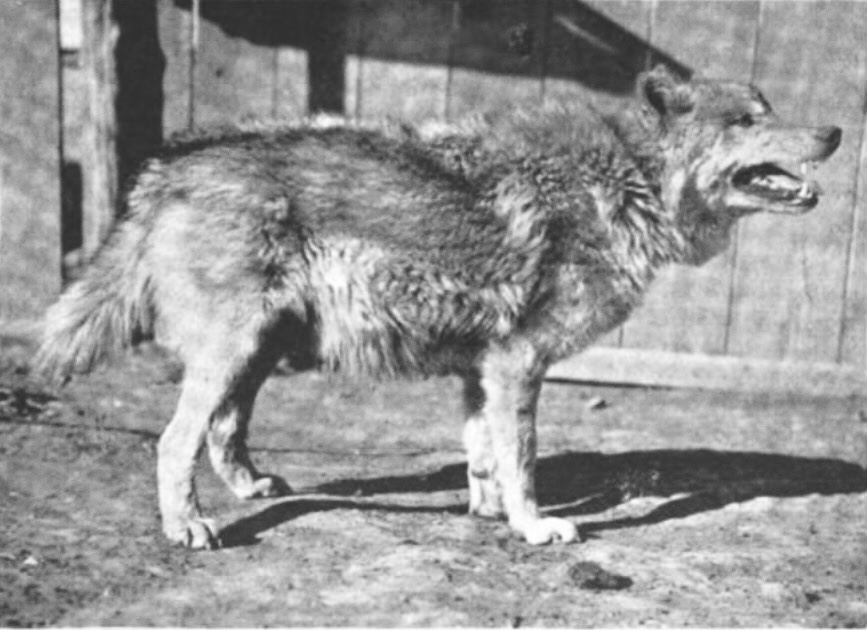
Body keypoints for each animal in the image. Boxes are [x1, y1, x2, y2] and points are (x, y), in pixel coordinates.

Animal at [35, 66, 841, 549]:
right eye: (746, 120)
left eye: (768, 110)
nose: (835, 131)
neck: (625, 178)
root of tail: (168, 162)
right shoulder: (518, 364)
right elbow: (523, 459)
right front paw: (534, 527)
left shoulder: (484, 369)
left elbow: (485, 454)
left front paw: (489, 514)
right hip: (238, 347)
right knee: (174, 439)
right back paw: (190, 527)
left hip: (260, 349)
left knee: (222, 427)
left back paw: (251, 487)